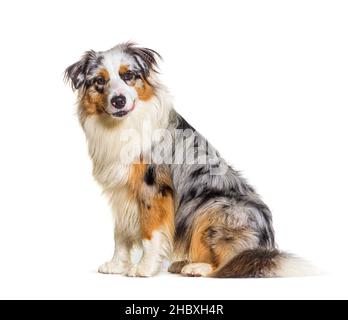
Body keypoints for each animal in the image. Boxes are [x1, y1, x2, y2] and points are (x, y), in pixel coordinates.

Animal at [64, 42, 312, 278]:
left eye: (128, 75)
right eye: (99, 80)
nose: (118, 100)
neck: (123, 125)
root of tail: (267, 248)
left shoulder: (153, 188)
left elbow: (150, 234)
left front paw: (144, 268)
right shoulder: (121, 192)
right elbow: (121, 234)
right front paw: (117, 265)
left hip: (214, 206)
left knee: (233, 262)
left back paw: (197, 268)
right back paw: (183, 263)